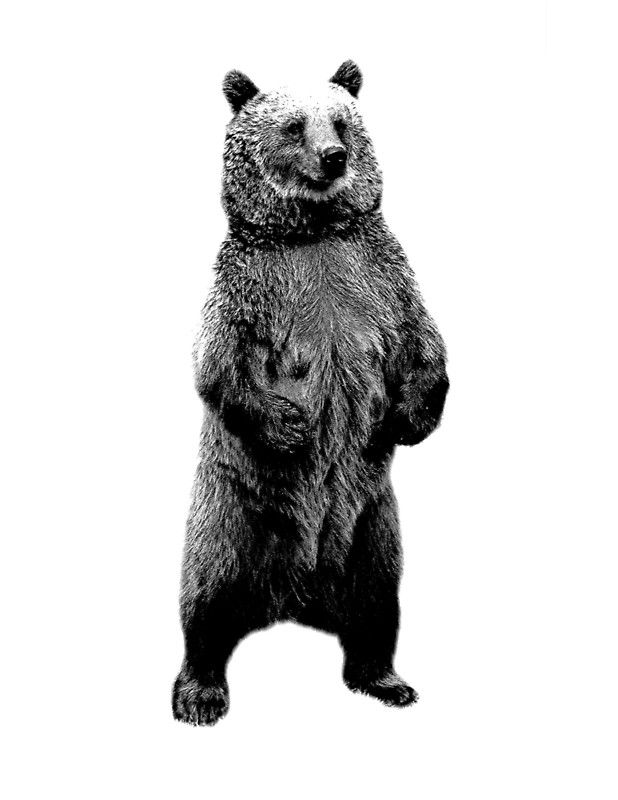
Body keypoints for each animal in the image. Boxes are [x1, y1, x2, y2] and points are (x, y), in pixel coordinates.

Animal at [172, 61, 449, 726]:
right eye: (295, 125)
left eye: (342, 121)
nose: (333, 155)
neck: (313, 232)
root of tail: (292, 598)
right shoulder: (249, 287)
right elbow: (217, 366)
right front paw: (291, 424)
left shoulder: (381, 276)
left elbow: (425, 343)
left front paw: (408, 417)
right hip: (231, 513)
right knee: (205, 599)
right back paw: (199, 692)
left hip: (373, 527)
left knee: (378, 605)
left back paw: (386, 680)